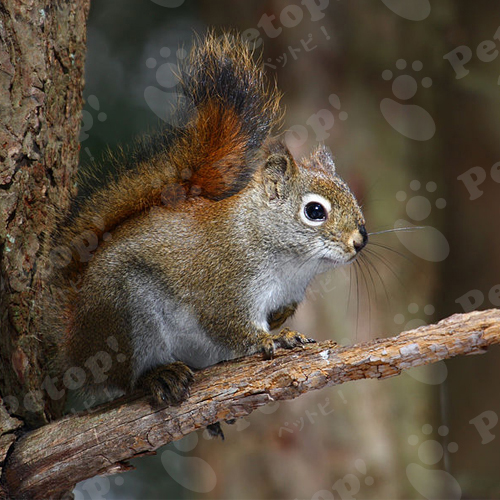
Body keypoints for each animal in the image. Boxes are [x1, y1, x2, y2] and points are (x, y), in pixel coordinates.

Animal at [47, 32, 368, 410]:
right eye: (315, 211)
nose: (360, 241)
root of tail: (76, 344)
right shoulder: (223, 284)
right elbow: (229, 325)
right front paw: (273, 338)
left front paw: (281, 320)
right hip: (127, 314)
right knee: (125, 376)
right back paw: (158, 375)